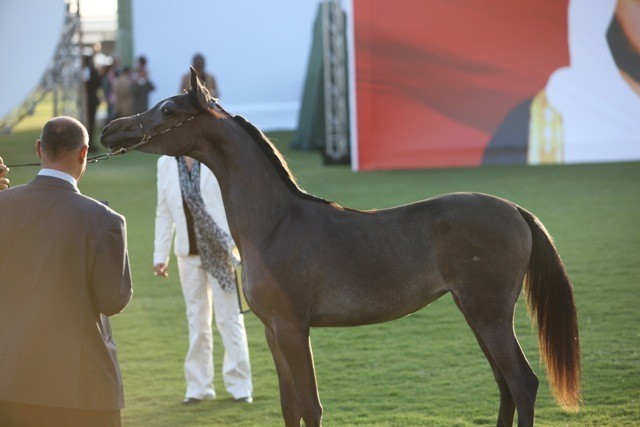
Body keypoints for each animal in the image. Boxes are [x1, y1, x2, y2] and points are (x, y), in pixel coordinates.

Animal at [101, 68, 580, 427]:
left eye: (167, 108)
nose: (110, 129)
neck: (276, 225)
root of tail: (514, 209)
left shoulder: (294, 330)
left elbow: (311, 407)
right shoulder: (273, 332)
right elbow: (290, 407)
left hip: (489, 315)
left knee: (522, 384)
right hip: (476, 313)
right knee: (505, 387)